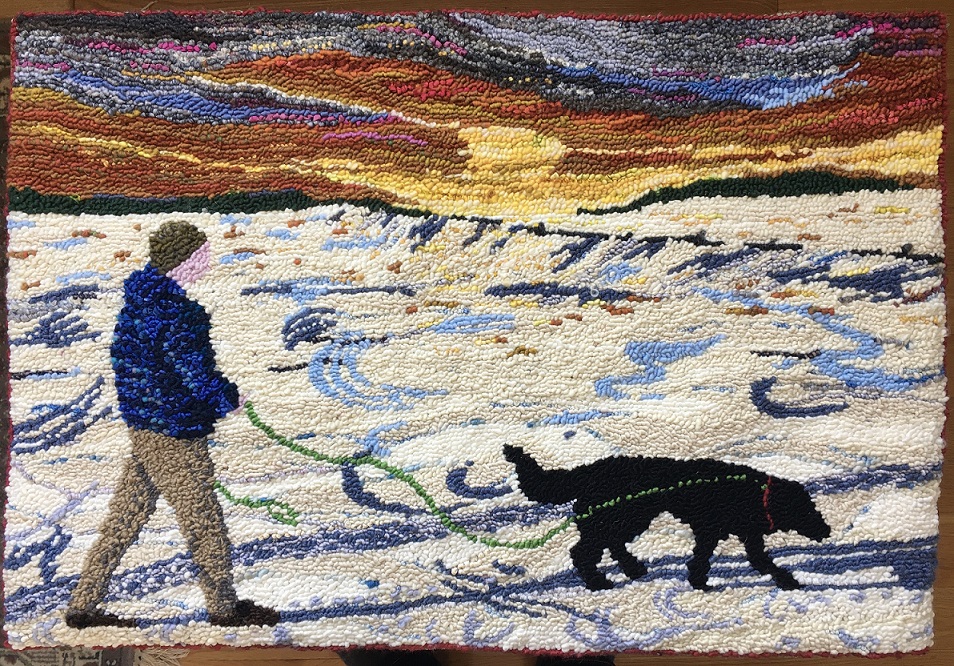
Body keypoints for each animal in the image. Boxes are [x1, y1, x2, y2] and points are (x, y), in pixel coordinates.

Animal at [503, 445, 831, 591]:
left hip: (626, 519)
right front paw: (700, 583)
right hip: (616, 518)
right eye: (807, 509)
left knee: (611, 544)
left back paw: (632, 569)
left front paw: (786, 580)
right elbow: (704, 558)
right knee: (583, 551)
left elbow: (760, 561)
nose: (826, 530)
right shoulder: (709, 530)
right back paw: (598, 582)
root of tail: (586, 472)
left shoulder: (745, 536)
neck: (753, 492)